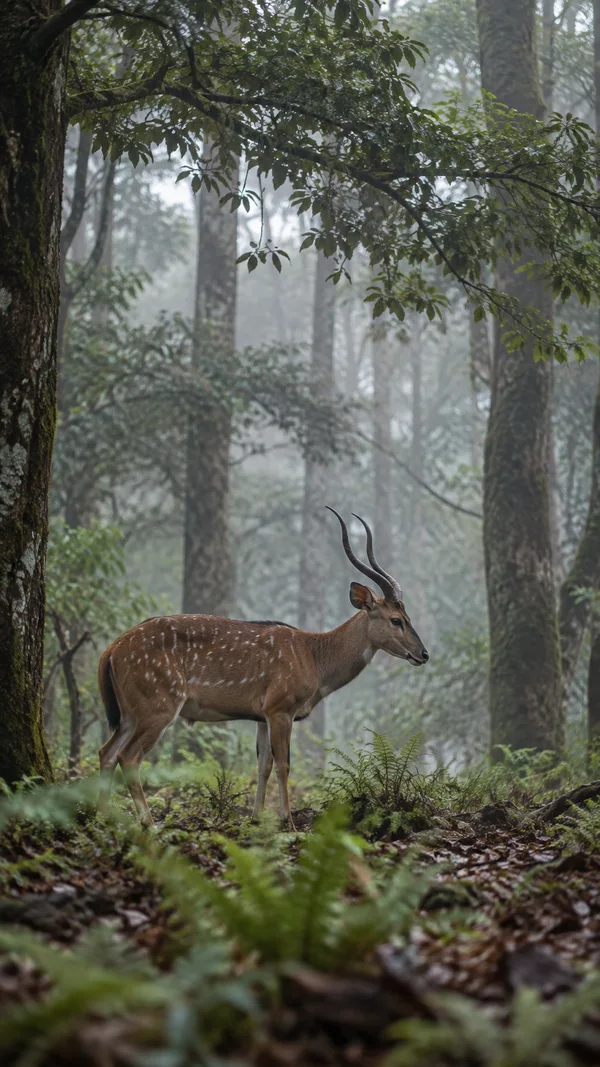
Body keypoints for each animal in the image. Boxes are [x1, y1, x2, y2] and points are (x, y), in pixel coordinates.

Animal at [97, 508, 428, 830]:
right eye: (396, 620)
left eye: (409, 616)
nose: (423, 654)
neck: (314, 661)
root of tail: (111, 650)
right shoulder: (281, 706)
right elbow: (284, 764)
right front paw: (288, 822)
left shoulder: (260, 714)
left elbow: (263, 764)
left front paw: (256, 819)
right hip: (158, 700)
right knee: (128, 756)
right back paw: (146, 822)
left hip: (129, 711)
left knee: (106, 751)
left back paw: (100, 815)